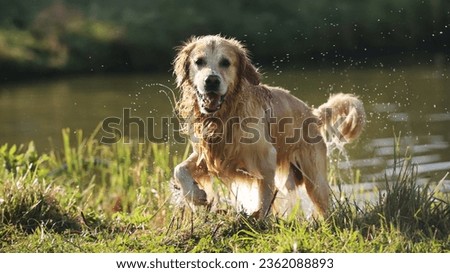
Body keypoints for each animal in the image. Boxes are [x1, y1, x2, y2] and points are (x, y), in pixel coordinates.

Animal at [171, 35, 364, 218]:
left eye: (225, 62)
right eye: (199, 61)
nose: (211, 80)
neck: (225, 116)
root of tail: (312, 113)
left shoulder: (265, 160)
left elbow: (264, 200)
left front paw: (260, 221)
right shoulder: (211, 154)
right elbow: (178, 169)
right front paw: (195, 195)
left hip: (315, 178)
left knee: (324, 207)